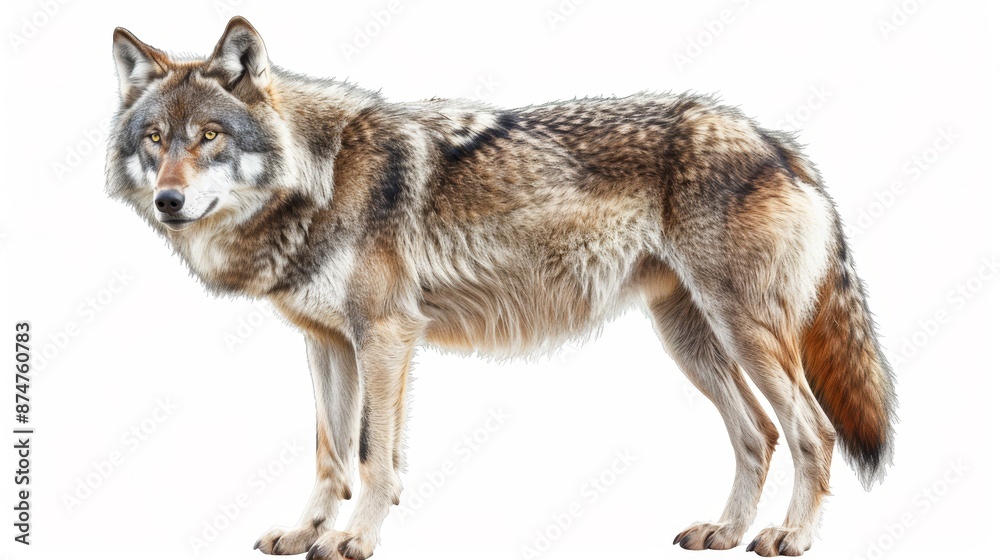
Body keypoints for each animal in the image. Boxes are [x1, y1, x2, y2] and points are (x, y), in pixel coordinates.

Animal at [105, 16, 897, 558]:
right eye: (155, 139)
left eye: (210, 136)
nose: (170, 201)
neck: (318, 178)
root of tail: (776, 141)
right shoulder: (328, 342)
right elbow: (332, 455)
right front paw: (304, 534)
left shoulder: (386, 336)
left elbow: (374, 457)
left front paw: (354, 541)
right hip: (692, 341)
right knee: (758, 433)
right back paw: (725, 532)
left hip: (745, 333)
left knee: (813, 431)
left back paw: (788, 538)